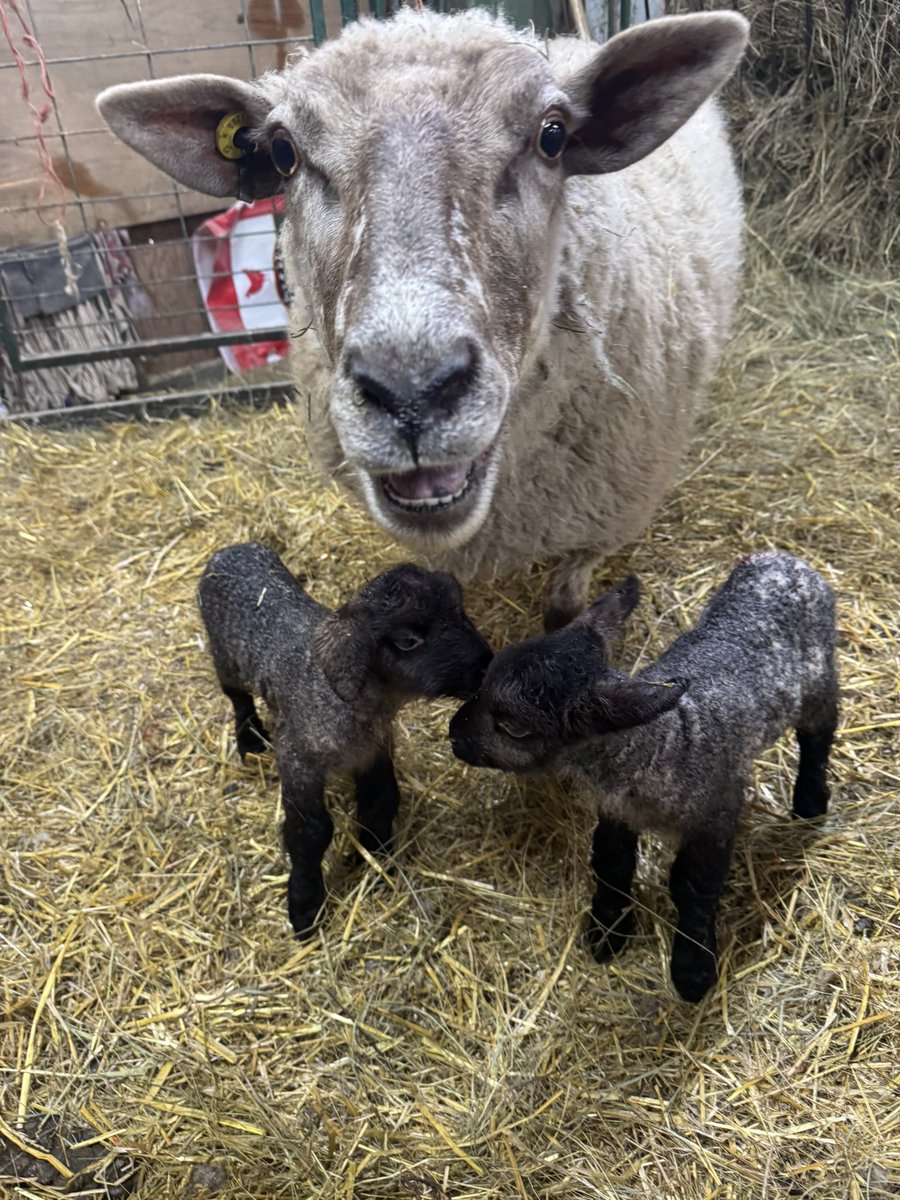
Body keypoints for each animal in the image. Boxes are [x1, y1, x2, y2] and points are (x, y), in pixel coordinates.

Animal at [198, 542, 492, 937]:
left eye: (461, 611)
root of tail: (230, 549)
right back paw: (250, 740)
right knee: (236, 695)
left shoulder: (372, 750)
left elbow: (381, 800)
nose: (485, 667)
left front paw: (379, 858)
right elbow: (310, 831)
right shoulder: (298, 761)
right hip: (224, 655)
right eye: (408, 640)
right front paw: (305, 905)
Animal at [449, 551, 838, 1002]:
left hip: (820, 682)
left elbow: (693, 886)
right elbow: (611, 863)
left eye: (512, 726)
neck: (667, 743)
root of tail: (786, 560)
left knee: (819, 736)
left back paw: (810, 801)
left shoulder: (716, 815)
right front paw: (607, 931)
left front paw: (692, 970)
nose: (454, 734)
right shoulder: (616, 811)